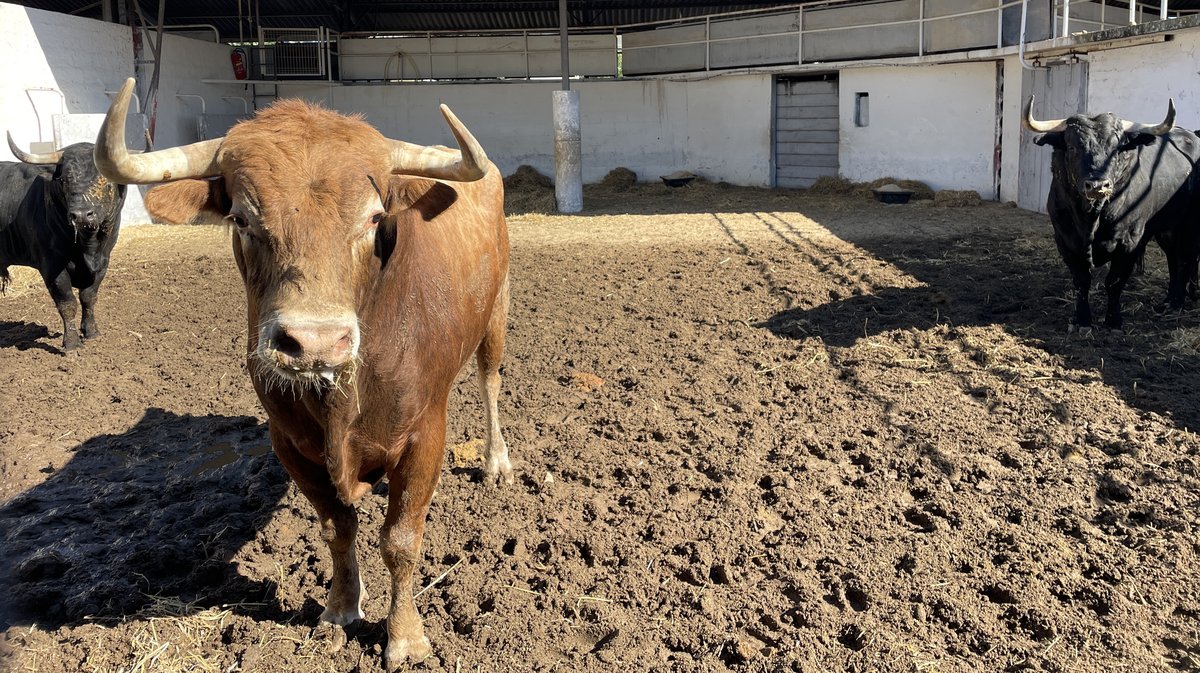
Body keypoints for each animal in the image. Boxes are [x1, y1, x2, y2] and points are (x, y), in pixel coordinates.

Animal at [0, 135, 126, 345]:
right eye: (64, 179)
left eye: (105, 178)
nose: (81, 215)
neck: (89, 247)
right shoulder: (52, 266)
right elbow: (67, 303)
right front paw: (72, 343)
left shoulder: (104, 262)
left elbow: (89, 297)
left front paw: (91, 332)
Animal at [94, 78, 516, 667]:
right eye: (242, 219)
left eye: (373, 218)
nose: (314, 342)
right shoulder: (291, 443)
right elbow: (338, 530)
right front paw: (340, 610)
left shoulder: (425, 433)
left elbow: (401, 540)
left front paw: (405, 636)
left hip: (496, 311)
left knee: (490, 381)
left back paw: (498, 462)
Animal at [1022, 95, 1200, 331]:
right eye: (1072, 147)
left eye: (1117, 148)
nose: (1098, 185)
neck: (1091, 218)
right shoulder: (1065, 240)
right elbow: (1081, 281)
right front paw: (1082, 320)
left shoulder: (1130, 242)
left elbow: (1114, 281)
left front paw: (1113, 321)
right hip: (1167, 227)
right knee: (1174, 258)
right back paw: (1169, 301)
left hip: (1190, 224)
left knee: (1185, 259)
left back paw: (1176, 303)